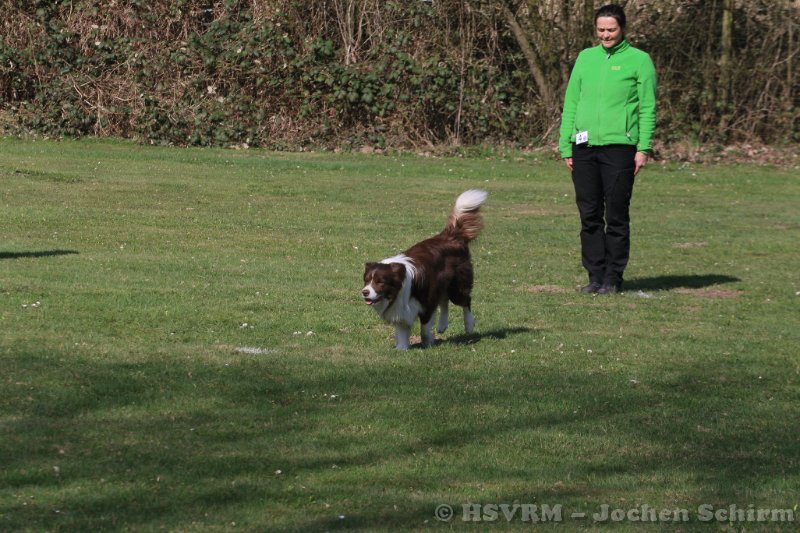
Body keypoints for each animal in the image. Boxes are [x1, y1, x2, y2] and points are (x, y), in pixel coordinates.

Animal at [361, 189, 488, 349]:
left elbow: (425, 328)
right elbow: (402, 330)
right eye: (366, 281)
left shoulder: (426, 303)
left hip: (457, 286)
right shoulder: (402, 309)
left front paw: (427, 343)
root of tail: (451, 236)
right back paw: (442, 325)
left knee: (466, 300)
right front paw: (401, 349)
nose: (364, 292)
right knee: (444, 301)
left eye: (380, 282)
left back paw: (469, 325)